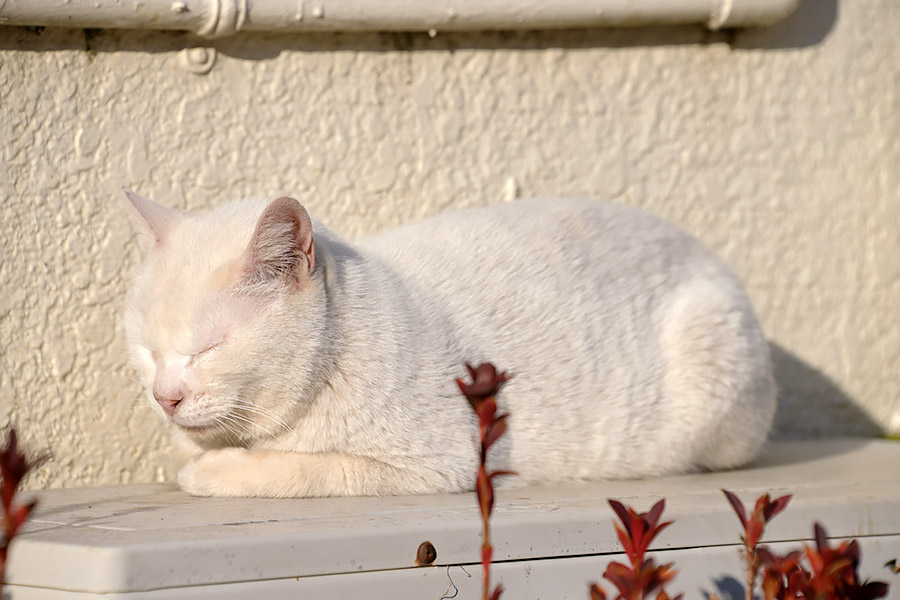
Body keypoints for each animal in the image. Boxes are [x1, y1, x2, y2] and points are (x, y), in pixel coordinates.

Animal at [123, 192, 776, 496]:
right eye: (147, 351)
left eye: (209, 348)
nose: (165, 397)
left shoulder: (437, 463)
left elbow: (301, 468)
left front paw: (212, 470)